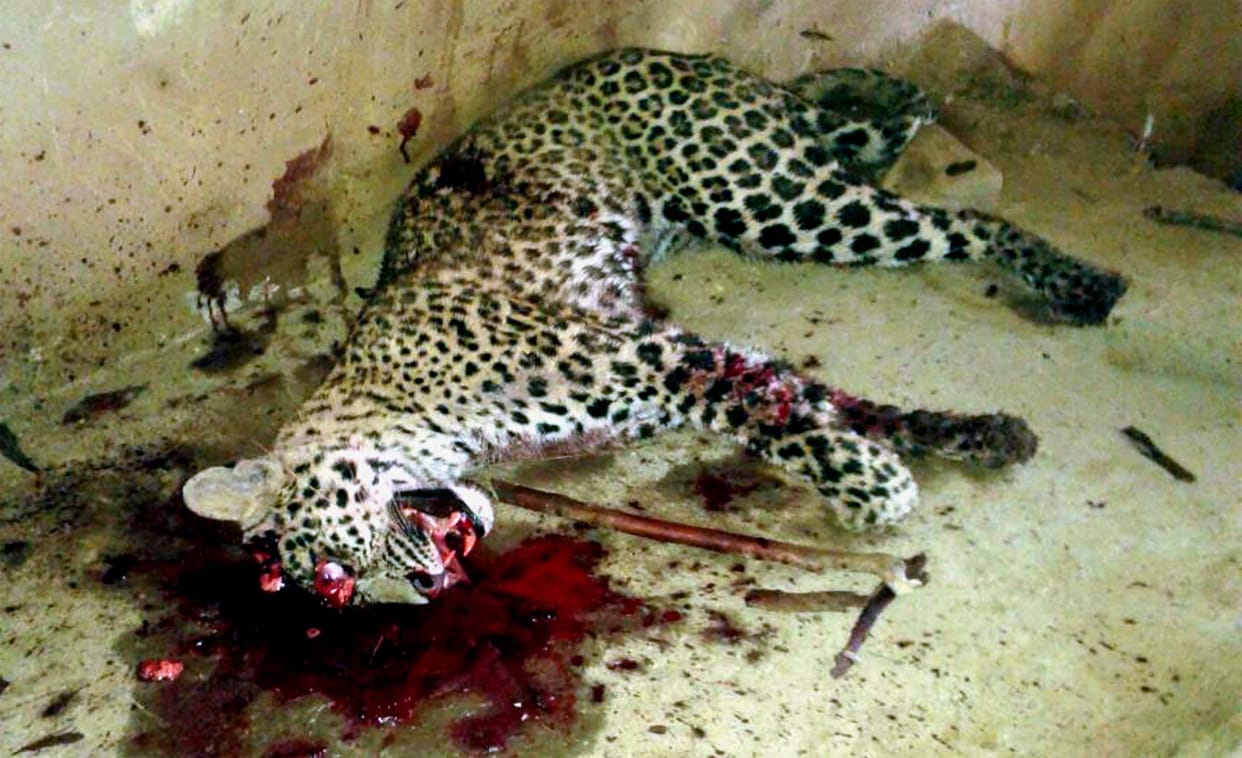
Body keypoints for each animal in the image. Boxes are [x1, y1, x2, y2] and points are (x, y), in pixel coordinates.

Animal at [183, 48, 1126, 606]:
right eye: (352, 594)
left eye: (334, 569)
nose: (427, 590)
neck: (388, 392)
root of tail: (680, 55)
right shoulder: (667, 368)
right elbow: (813, 399)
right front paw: (969, 436)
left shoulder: (644, 357)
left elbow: (777, 420)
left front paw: (873, 487)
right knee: (904, 155)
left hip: (772, 201)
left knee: (959, 219)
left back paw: (1086, 282)